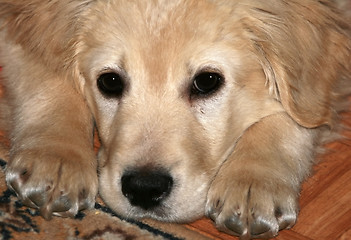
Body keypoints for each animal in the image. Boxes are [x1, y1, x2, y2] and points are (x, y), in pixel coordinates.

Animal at [0, 0, 350, 239]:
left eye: (207, 81)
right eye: (109, 82)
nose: (144, 189)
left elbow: (299, 106)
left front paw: (254, 182)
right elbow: (48, 73)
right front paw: (55, 160)